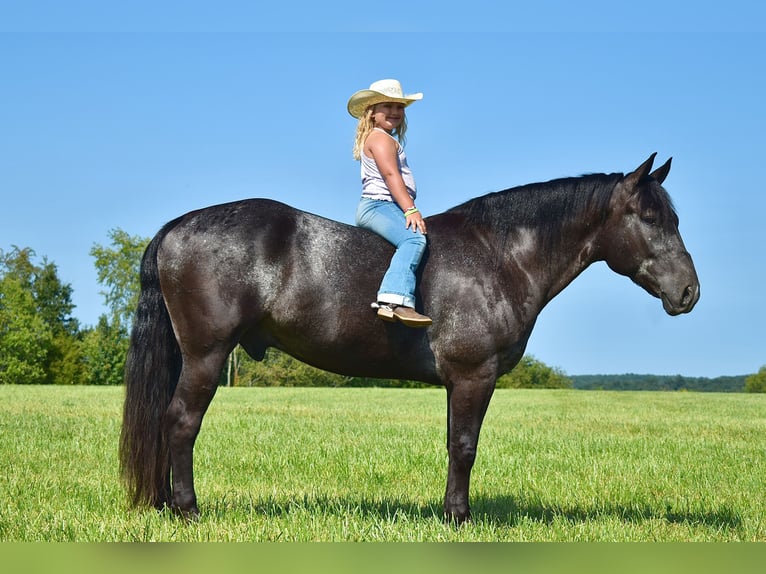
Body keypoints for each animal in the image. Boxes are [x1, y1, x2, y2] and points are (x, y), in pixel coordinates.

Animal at [118, 154, 704, 528]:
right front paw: (460, 519)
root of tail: (177, 227)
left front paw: (449, 513)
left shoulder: (457, 383)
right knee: (181, 423)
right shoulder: (474, 375)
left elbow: (453, 444)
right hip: (207, 356)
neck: (499, 257)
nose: (689, 292)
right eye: (649, 217)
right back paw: (187, 510)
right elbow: (466, 446)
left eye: (674, 218)